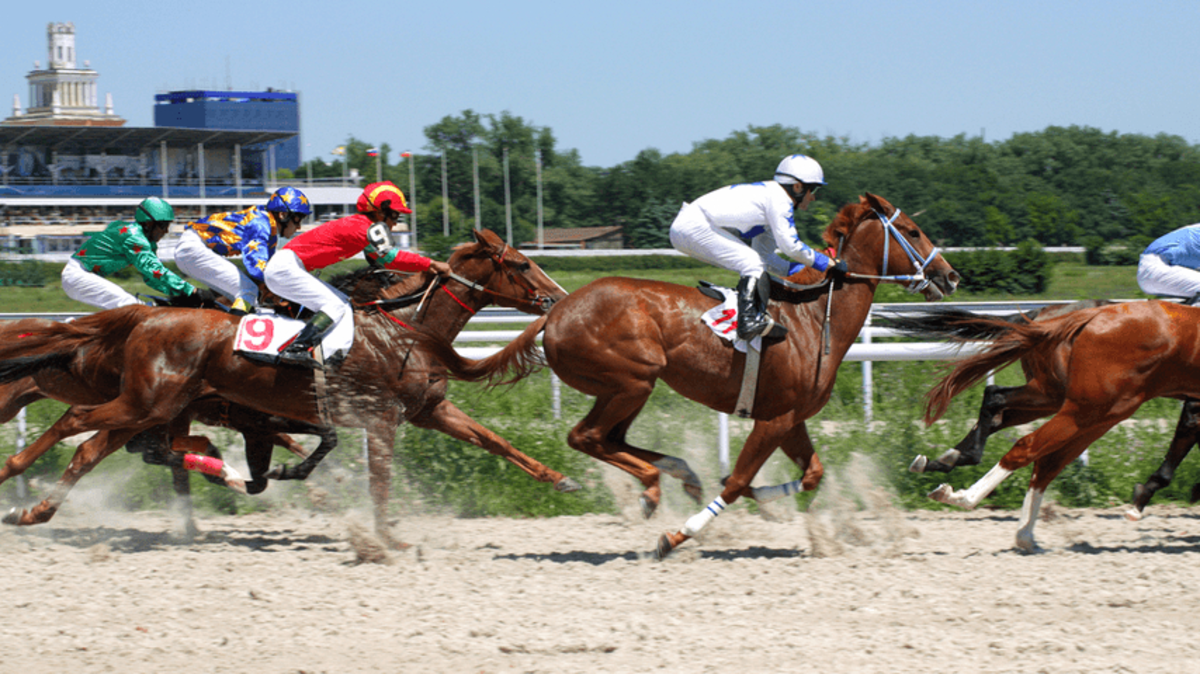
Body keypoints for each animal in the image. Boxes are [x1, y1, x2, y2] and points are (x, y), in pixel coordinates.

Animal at [0, 229, 573, 545]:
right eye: (521, 263)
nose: (558, 298)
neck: (403, 329)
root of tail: (143, 317)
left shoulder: (428, 409)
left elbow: (494, 441)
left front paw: (561, 479)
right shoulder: (376, 418)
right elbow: (377, 481)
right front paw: (386, 537)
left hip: (150, 406)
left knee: (94, 448)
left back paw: (35, 509)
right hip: (147, 402)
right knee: (80, 427)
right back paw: (15, 477)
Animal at [415, 194, 960, 557]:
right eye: (912, 231)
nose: (950, 275)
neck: (811, 319)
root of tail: (556, 311)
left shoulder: (792, 418)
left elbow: (810, 475)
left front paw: (759, 499)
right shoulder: (774, 418)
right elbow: (738, 481)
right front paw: (678, 535)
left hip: (630, 388)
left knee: (610, 439)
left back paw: (677, 475)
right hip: (633, 380)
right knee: (586, 436)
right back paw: (655, 486)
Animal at [889, 300, 1200, 550]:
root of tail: (1086, 315)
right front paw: (1142, 500)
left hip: (1080, 405)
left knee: (1033, 445)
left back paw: (1022, 533)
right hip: (1088, 407)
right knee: (1027, 445)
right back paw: (963, 496)